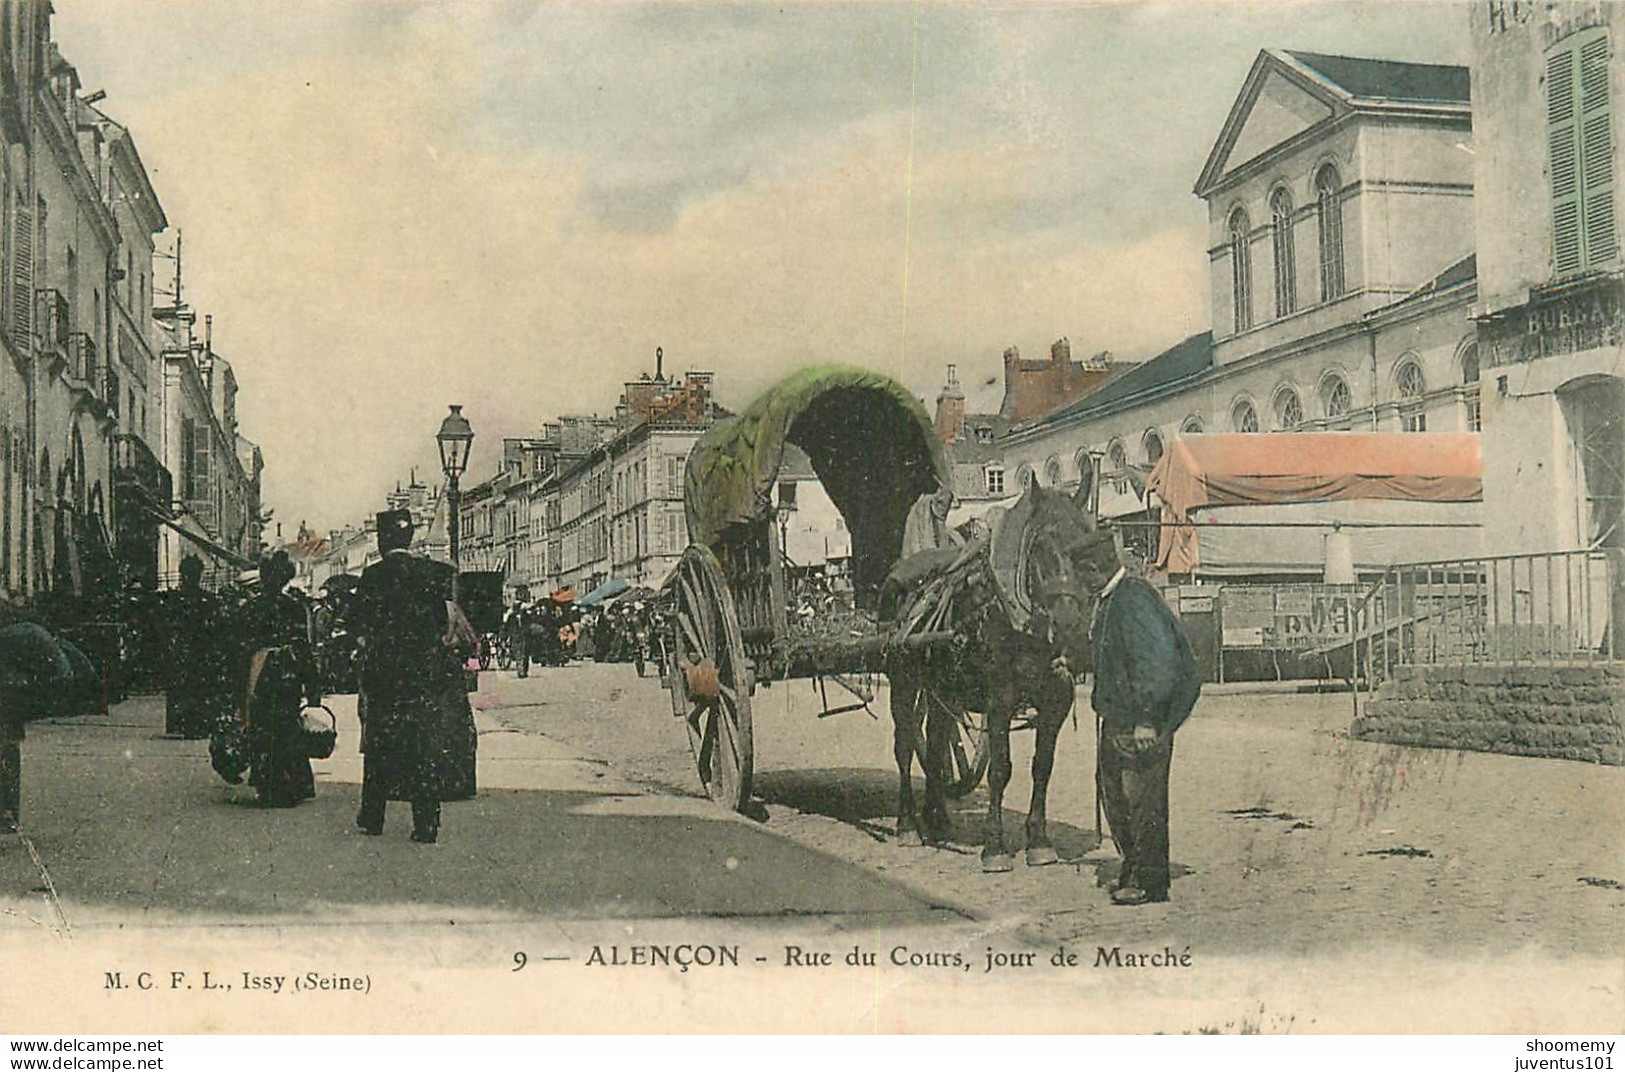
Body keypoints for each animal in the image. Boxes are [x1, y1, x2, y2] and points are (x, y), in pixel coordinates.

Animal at [890, 477, 1105, 870]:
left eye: (1086, 547)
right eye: (1041, 546)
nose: (1069, 625)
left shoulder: (1057, 702)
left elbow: (1043, 767)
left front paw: (1039, 841)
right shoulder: (999, 701)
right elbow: (1000, 770)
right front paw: (995, 845)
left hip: (943, 688)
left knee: (938, 740)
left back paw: (937, 817)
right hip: (903, 680)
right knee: (904, 746)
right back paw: (908, 825)